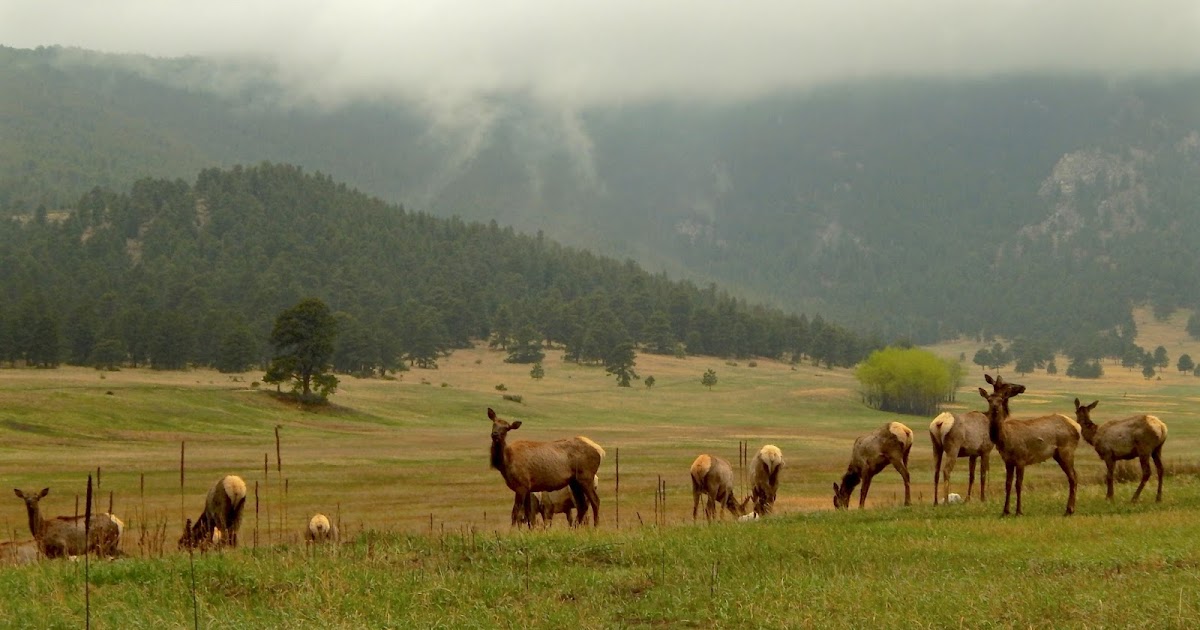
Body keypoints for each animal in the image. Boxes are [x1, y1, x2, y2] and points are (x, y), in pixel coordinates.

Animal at [978, 374, 1081, 516]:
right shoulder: (1008, 461)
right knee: (1073, 476)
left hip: (1067, 451)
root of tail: (1077, 427)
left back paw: (1069, 510)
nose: (1022, 387)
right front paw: (1005, 511)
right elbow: (1008, 484)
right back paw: (1070, 509)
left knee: (1073, 477)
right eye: (989, 399)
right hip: (1059, 454)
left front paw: (1019, 511)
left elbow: (1018, 484)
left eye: (1001, 399)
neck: (1005, 439)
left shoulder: (1021, 458)